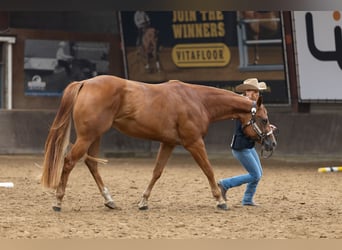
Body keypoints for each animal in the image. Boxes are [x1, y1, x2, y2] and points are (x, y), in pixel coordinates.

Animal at [41, 75, 276, 211]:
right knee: (69, 161)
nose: (272, 143)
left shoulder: (168, 143)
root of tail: (84, 83)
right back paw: (58, 201)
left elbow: (157, 172)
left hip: (95, 136)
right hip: (87, 136)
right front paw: (220, 200)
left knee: (91, 164)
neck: (197, 100)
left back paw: (109, 200)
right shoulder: (194, 143)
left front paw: (143, 201)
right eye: (264, 119)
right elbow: (208, 169)